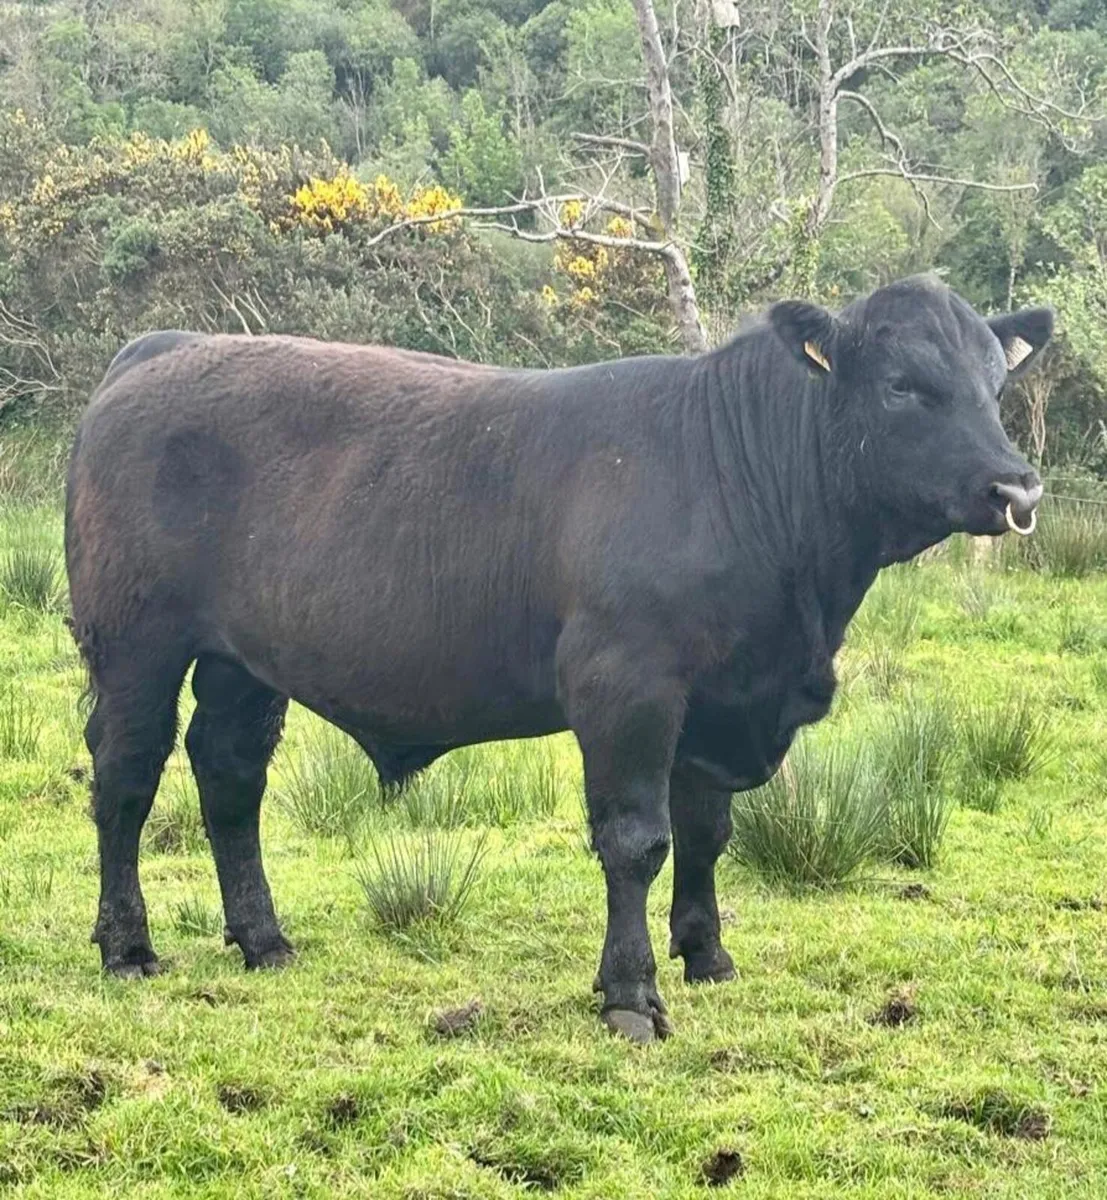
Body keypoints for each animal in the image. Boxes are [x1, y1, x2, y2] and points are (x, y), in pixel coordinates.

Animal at [65, 274, 1051, 1043]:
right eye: (901, 386)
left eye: (994, 383)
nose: (1015, 486)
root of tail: (166, 347)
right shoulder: (626, 685)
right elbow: (636, 840)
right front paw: (630, 995)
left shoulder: (717, 701)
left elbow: (705, 832)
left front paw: (706, 954)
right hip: (136, 644)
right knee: (125, 779)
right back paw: (128, 946)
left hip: (244, 664)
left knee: (230, 777)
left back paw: (263, 939)